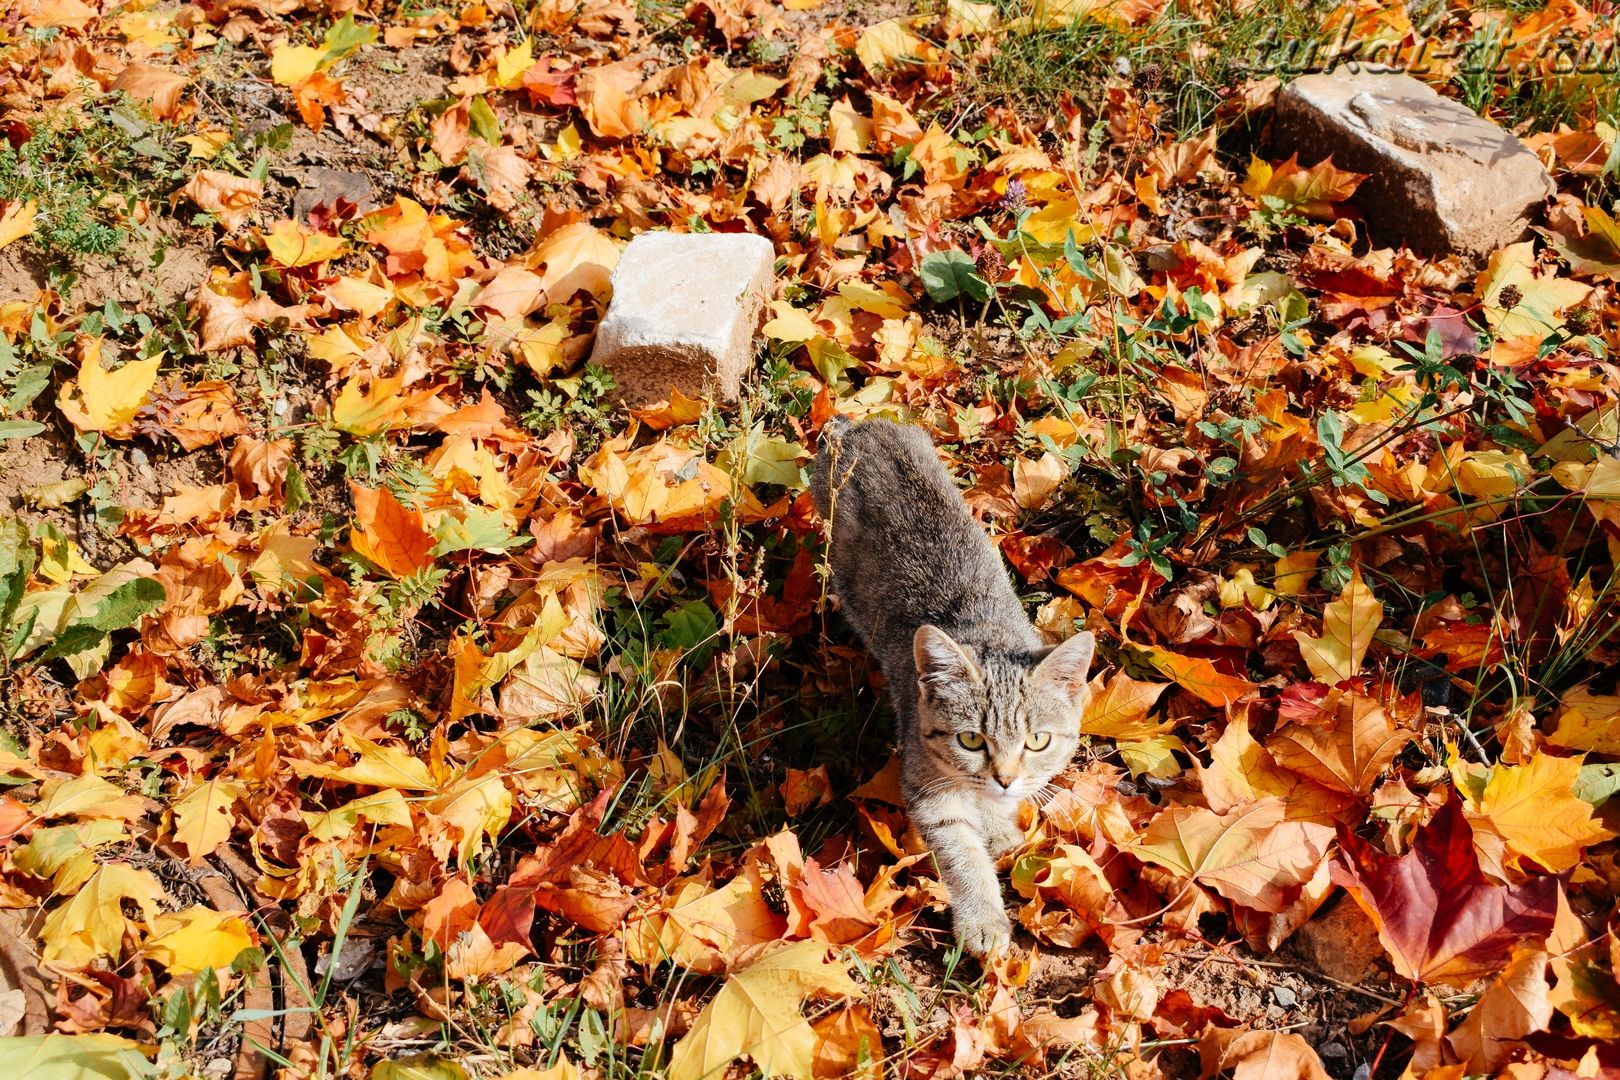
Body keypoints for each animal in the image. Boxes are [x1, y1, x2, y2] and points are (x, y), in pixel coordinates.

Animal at [810, 417, 1101, 952]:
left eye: (1037, 740)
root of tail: (862, 424)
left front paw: (1001, 830)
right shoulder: (930, 790)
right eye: (970, 739)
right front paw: (983, 918)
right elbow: (962, 854)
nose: (1005, 778)